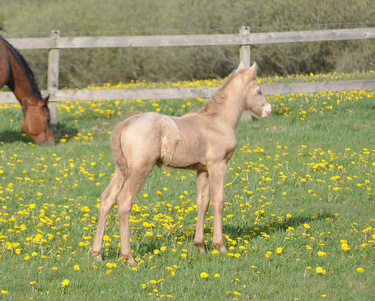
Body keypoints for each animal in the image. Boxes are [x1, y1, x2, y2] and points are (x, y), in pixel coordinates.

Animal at [91, 61, 274, 264]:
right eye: (258, 90)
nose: (269, 109)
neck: (217, 121)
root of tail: (124, 125)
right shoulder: (218, 164)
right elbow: (219, 200)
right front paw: (221, 246)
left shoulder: (202, 169)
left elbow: (203, 202)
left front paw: (200, 246)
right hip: (140, 169)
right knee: (124, 201)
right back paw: (128, 257)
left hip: (122, 170)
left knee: (107, 199)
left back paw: (97, 253)